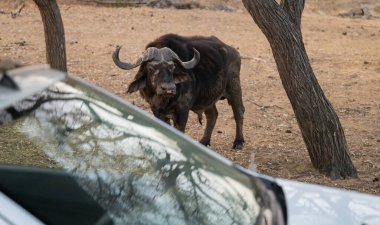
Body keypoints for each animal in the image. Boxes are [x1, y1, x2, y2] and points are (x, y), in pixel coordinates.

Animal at [111, 33, 245, 149]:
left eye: (172, 67)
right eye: (151, 67)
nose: (169, 88)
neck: (164, 100)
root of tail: (234, 52)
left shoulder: (182, 110)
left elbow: (179, 131)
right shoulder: (156, 110)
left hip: (234, 88)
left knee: (239, 112)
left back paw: (238, 142)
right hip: (208, 98)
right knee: (212, 115)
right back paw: (204, 141)